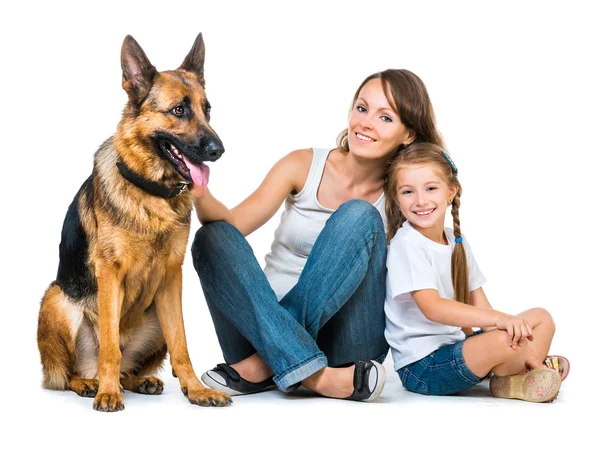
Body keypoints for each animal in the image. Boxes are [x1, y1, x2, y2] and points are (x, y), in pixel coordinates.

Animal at [36, 33, 231, 412]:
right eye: (179, 110)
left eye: (208, 110)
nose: (218, 150)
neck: (152, 194)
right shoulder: (110, 273)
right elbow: (110, 344)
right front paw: (108, 394)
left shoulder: (172, 276)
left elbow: (182, 343)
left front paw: (196, 390)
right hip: (56, 298)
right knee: (69, 373)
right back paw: (93, 384)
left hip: (154, 316)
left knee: (131, 364)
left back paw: (137, 381)